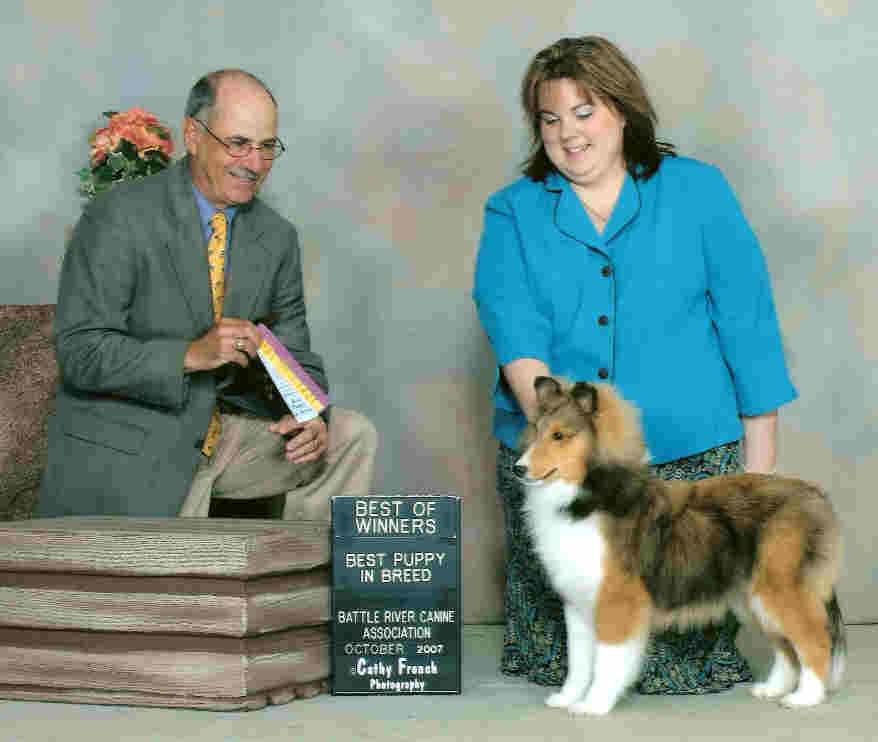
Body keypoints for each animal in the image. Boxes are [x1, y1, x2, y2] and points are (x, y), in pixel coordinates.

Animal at [514, 376, 845, 715]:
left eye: (559, 435)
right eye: (535, 429)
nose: (518, 468)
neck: (590, 497)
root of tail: (814, 497)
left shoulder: (616, 599)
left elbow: (607, 661)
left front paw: (593, 705)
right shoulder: (578, 603)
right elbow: (579, 662)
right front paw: (568, 697)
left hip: (780, 588)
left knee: (815, 640)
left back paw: (805, 697)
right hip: (754, 596)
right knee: (786, 647)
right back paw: (772, 690)